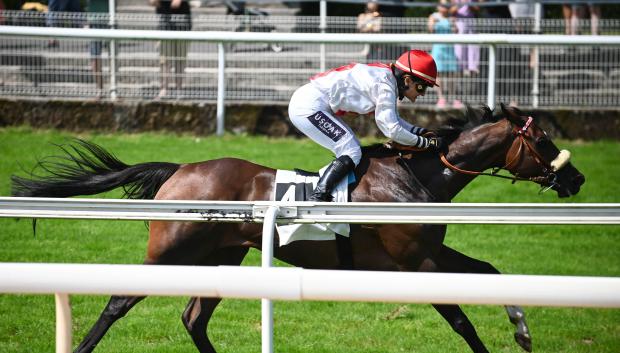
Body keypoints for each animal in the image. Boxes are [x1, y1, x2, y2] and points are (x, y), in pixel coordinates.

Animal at [12, 102, 588, 352]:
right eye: (541, 140)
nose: (577, 177)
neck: (413, 177)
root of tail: (181, 169)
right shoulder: (415, 262)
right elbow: (461, 319)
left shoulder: (429, 252)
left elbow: (489, 271)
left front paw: (523, 329)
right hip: (170, 253)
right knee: (117, 302)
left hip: (223, 258)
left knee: (193, 318)